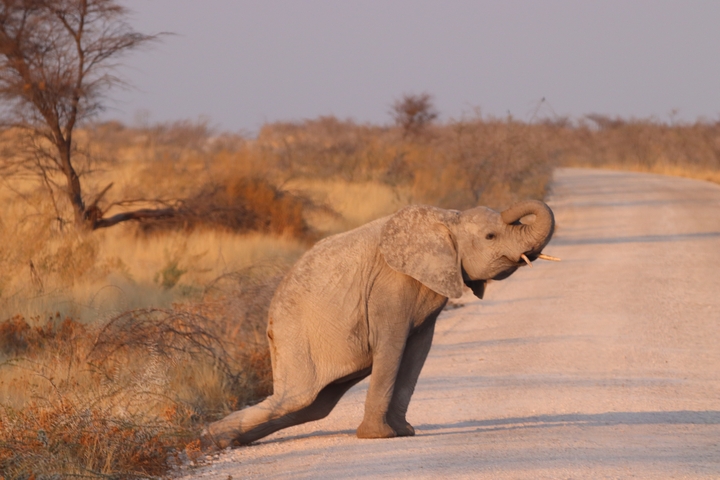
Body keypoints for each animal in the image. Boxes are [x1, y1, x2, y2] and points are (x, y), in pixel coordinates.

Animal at [202, 199, 555, 448]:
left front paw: (405, 432)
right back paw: (212, 439)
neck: (446, 220)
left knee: (313, 406)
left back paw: (221, 439)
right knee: (298, 397)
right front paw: (379, 436)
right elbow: (393, 348)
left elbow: (416, 352)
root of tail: (270, 320)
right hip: (296, 337)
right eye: (490, 236)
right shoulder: (391, 284)